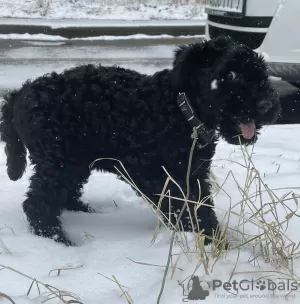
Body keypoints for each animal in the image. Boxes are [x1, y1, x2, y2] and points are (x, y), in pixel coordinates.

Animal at [0, 36, 282, 246]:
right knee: (38, 205)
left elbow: (199, 205)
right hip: (59, 164)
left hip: (73, 163)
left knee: (63, 196)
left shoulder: (194, 174)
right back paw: (58, 240)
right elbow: (184, 208)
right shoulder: (159, 177)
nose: (266, 105)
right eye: (230, 75)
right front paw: (208, 240)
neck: (180, 109)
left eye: (261, 72)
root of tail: (19, 94)